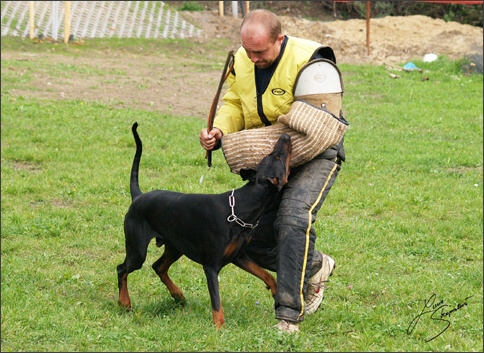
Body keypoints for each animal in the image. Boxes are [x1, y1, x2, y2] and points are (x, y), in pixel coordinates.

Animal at [117, 121, 292, 328]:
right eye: (276, 156)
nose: (286, 136)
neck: (240, 207)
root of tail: (138, 196)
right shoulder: (211, 266)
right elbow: (216, 302)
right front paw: (219, 326)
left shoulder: (239, 256)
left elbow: (267, 275)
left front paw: (276, 292)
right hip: (137, 250)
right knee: (122, 269)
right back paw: (124, 302)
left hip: (175, 246)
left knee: (158, 266)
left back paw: (178, 295)